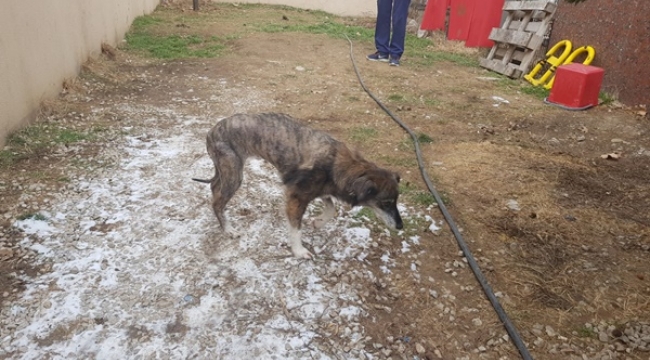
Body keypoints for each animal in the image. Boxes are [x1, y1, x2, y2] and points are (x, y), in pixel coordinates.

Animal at [192, 114, 402, 258]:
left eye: (396, 201)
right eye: (386, 203)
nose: (400, 226)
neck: (339, 164)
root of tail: (211, 132)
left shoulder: (321, 191)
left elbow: (331, 209)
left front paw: (318, 222)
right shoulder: (296, 198)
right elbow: (296, 228)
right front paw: (299, 251)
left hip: (226, 172)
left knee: (214, 189)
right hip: (234, 175)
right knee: (217, 202)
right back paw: (228, 230)